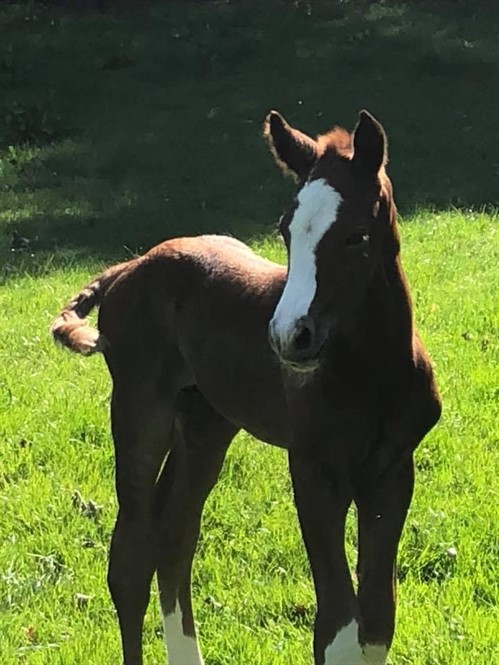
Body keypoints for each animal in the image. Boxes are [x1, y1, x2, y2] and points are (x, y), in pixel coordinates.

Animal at [51, 110, 442, 664]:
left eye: (357, 236)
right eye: (286, 230)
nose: (289, 336)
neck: (374, 370)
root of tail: (127, 267)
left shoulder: (391, 472)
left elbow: (377, 620)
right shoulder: (313, 470)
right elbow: (338, 625)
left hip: (205, 423)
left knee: (174, 534)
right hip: (140, 408)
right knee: (130, 555)